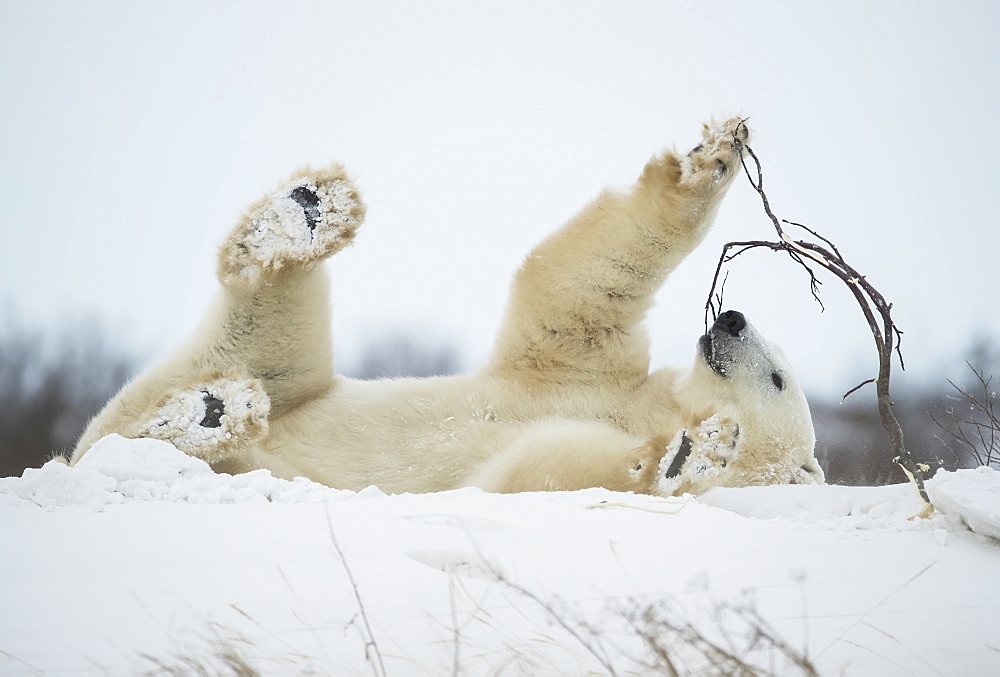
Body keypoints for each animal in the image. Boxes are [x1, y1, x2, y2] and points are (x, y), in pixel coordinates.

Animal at [68, 117, 820, 496]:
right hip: (292, 391)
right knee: (270, 343)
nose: (732, 318)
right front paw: (713, 156)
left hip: (256, 447)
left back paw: (210, 412)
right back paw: (301, 219)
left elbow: (539, 467)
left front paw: (688, 456)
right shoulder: (590, 371)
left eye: (779, 376)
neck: (648, 410)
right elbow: (578, 287)